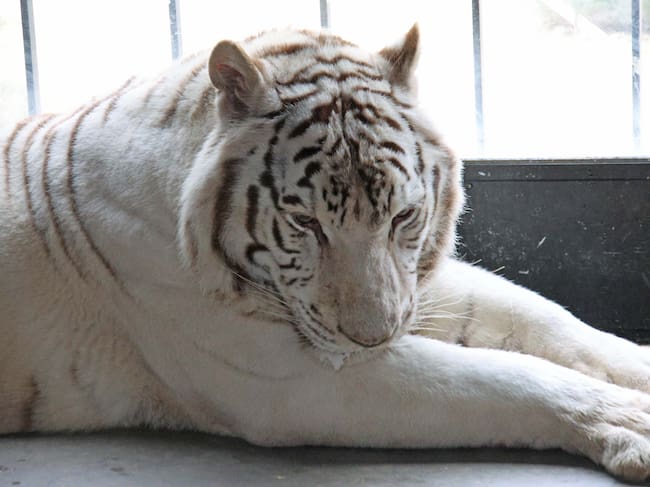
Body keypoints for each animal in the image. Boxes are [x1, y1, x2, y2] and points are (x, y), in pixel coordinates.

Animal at [2, 24, 650, 482]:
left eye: (403, 217)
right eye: (305, 223)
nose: (374, 339)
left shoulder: (412, 286)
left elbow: (543, 318)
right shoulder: (291, 378)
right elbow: (503, 377)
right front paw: (631, 422)